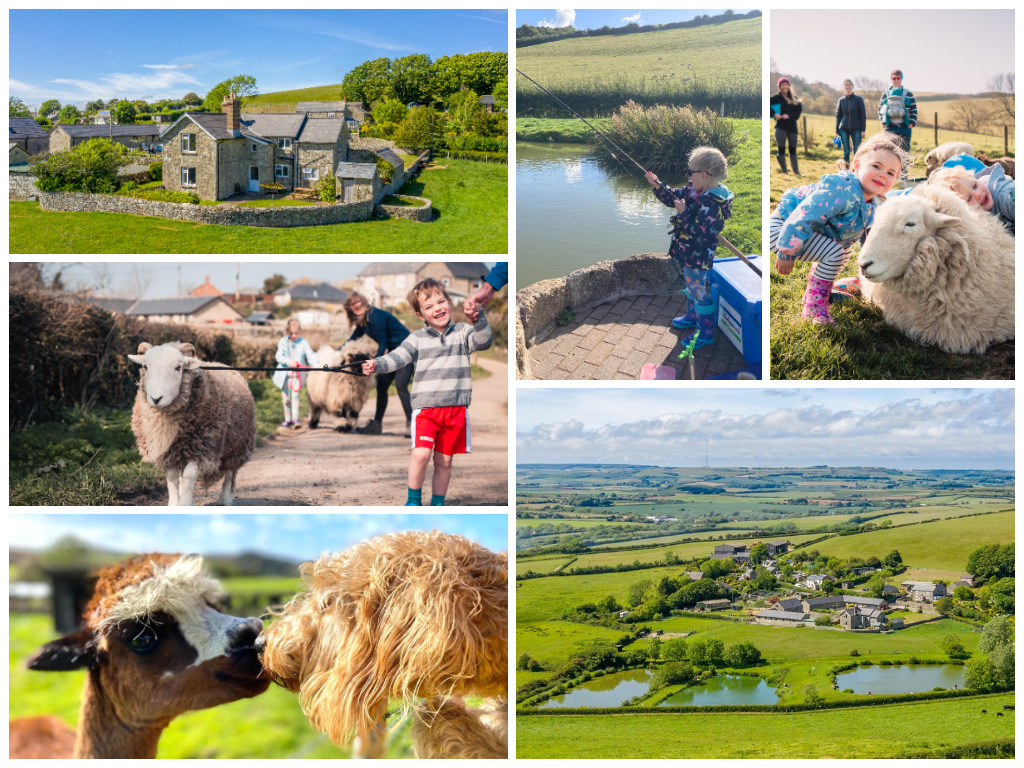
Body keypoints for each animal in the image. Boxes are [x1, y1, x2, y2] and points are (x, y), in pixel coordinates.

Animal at [128, 342, 256, 505]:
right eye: (145, 366)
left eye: (178, 367)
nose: (156, 399)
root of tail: (224, 364)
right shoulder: (170, 452)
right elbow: (173, 479)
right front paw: (175, 504)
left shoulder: (201, 448)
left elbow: (189, 477)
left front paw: (185, 503)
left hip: (238, 445)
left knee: (230, 474)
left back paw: (225, 499)